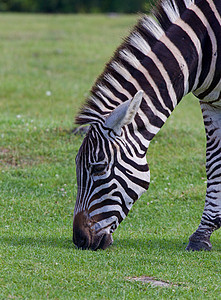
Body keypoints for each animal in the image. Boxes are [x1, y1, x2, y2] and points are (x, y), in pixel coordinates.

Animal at [73, 0, 221, 251]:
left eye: (98, 168)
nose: (79, 240)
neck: (204, 49)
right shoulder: (210, 104)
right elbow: (214, 164)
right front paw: (202, 235)